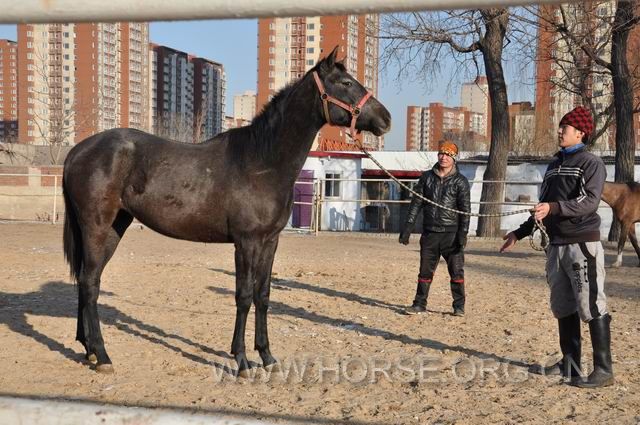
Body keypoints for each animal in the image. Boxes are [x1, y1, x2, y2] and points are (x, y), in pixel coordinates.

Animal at [62, 48, 390, 376]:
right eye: (346, 83)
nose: (385, 119)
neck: (262, 161)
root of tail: (77, 151)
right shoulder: (246, 242)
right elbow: (243, 296)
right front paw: (242, 360)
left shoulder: (270, 241)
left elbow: (263, 295)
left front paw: (267, 356)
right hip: (97, 227)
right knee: (90, 283)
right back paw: (102, 355)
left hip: (114, 227)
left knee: (86, 280)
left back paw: (88, 349)